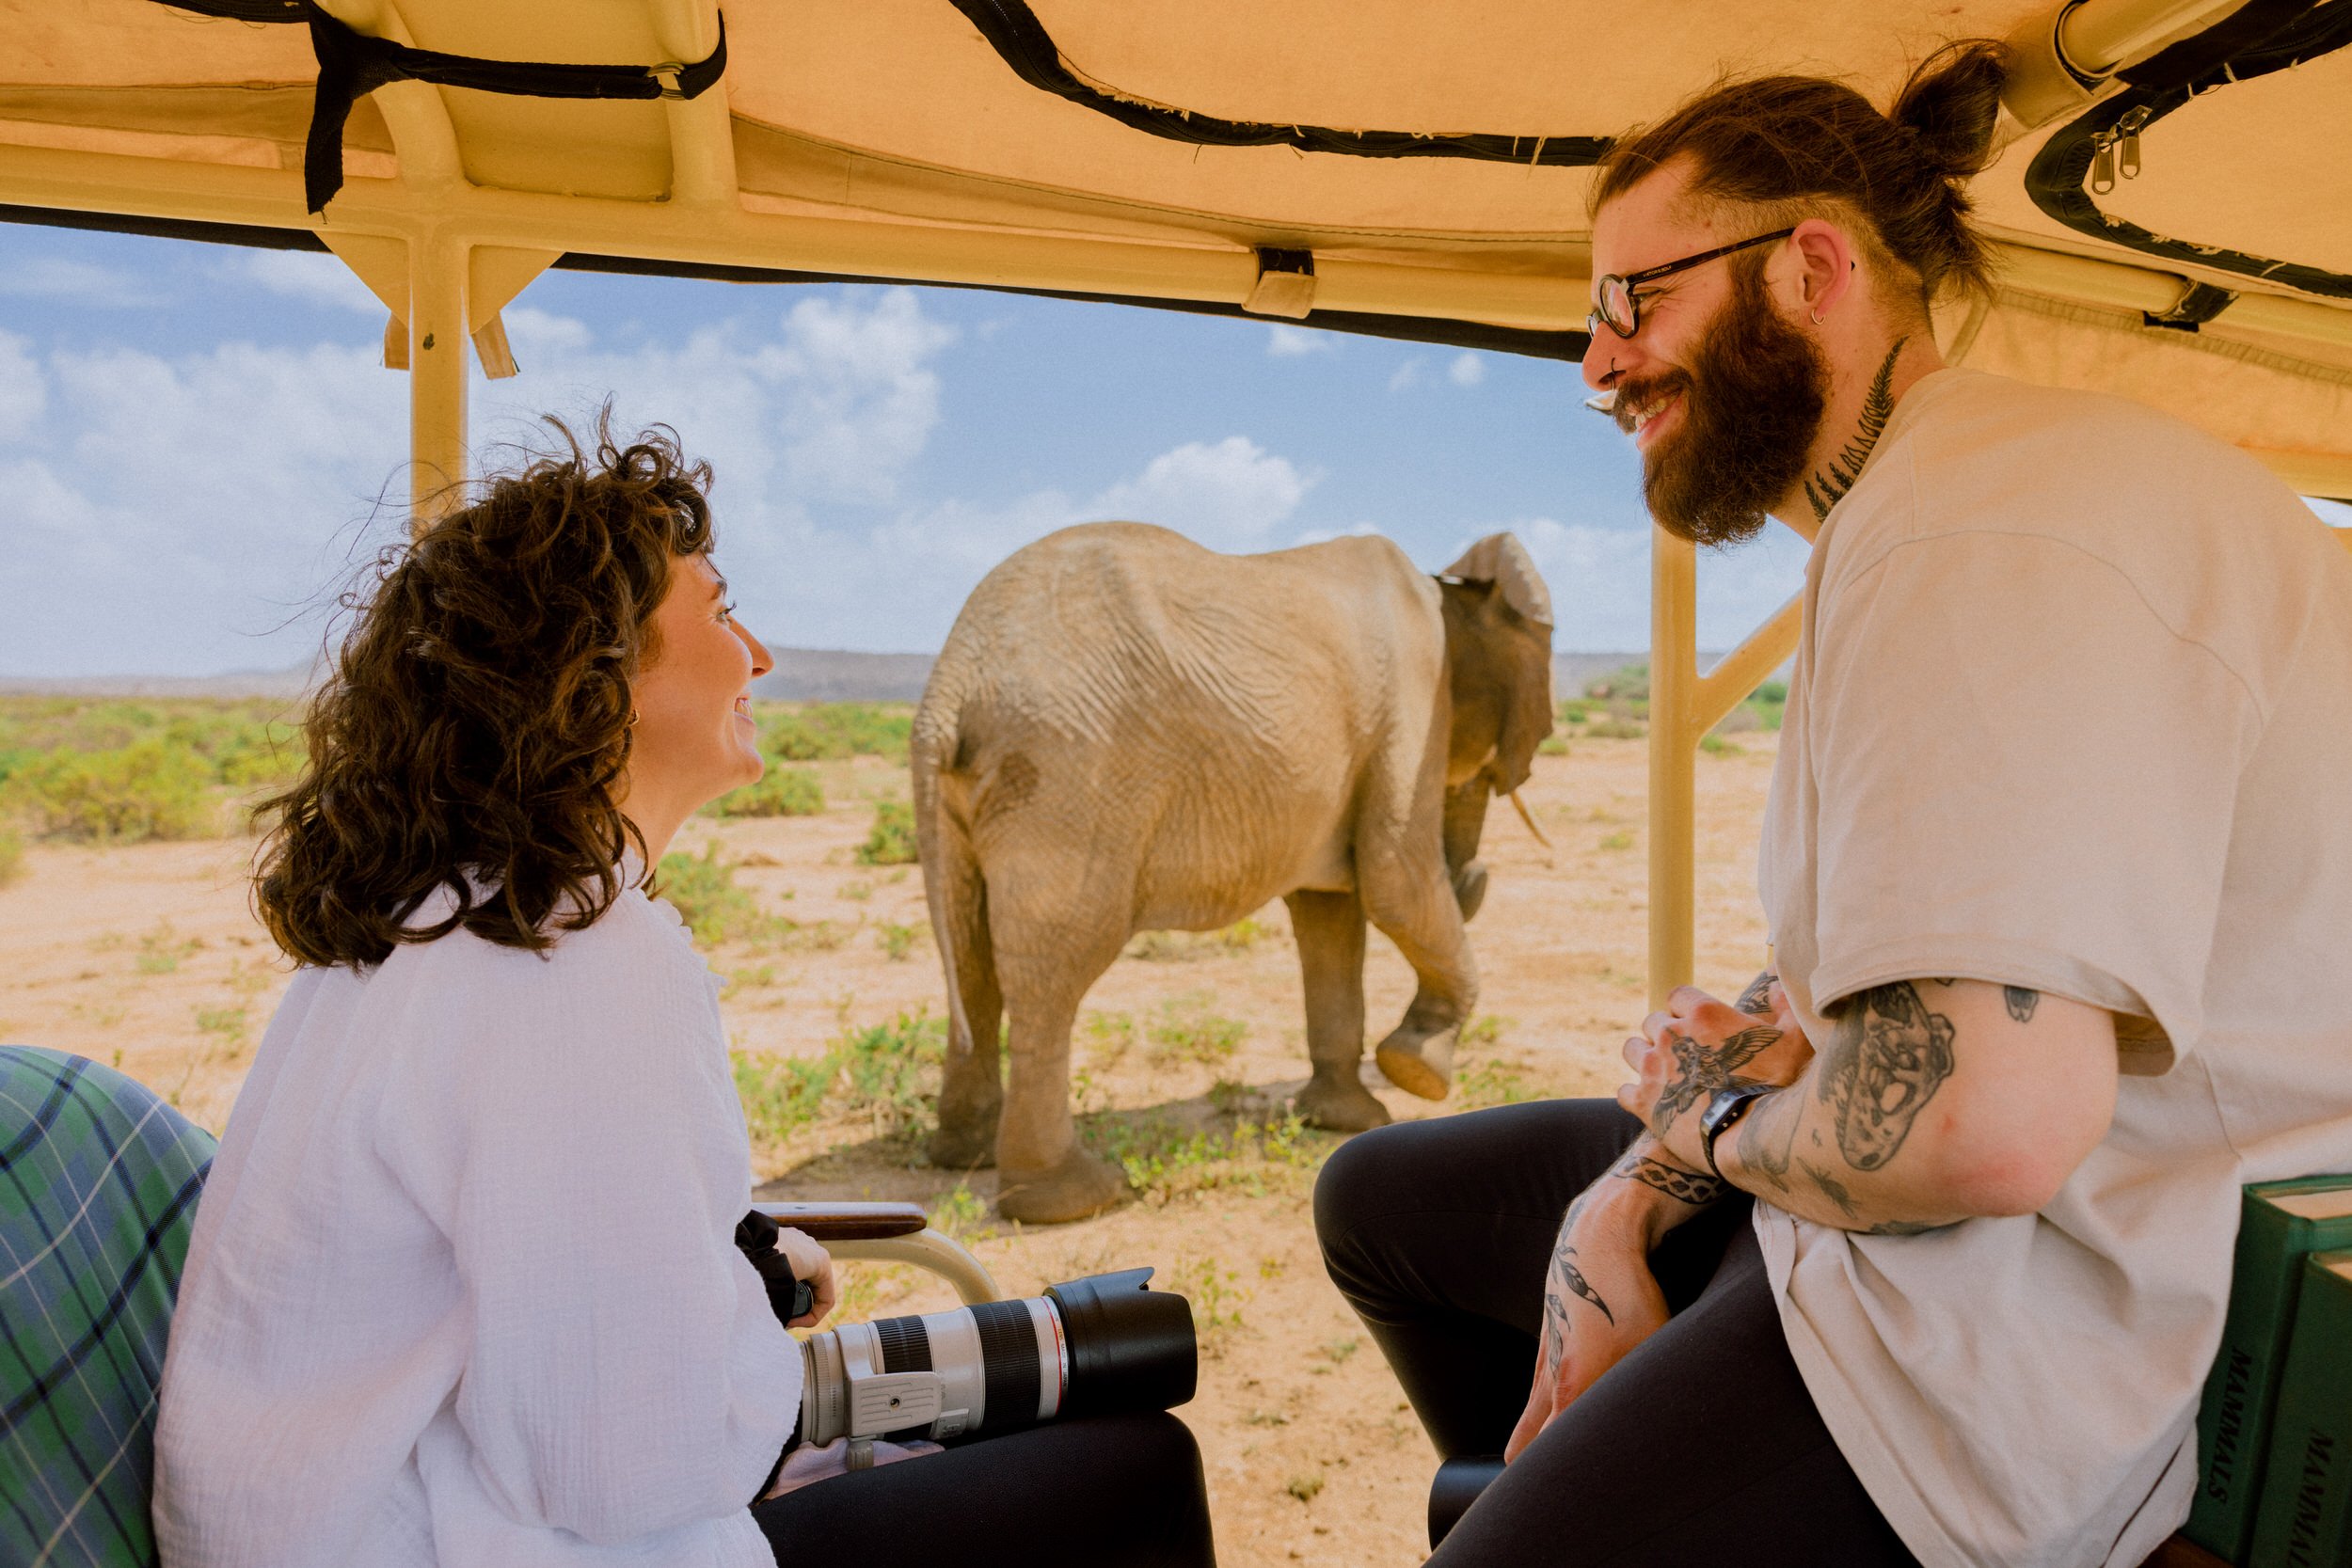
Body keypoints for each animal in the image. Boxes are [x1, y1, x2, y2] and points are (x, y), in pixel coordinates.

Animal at [908, 521, 1552, 1222]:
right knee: (1054, 970)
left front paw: (1343, 1120)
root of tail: (952, 686)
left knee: (971, 959)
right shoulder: (1411, 705)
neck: (1451, 587)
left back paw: (965, 1155)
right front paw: (1419, 1072)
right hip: (1067, 777)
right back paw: (1076, 1199)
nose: (1475, 868)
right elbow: (1396, 883)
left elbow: (1328, 915)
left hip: (976, 796)